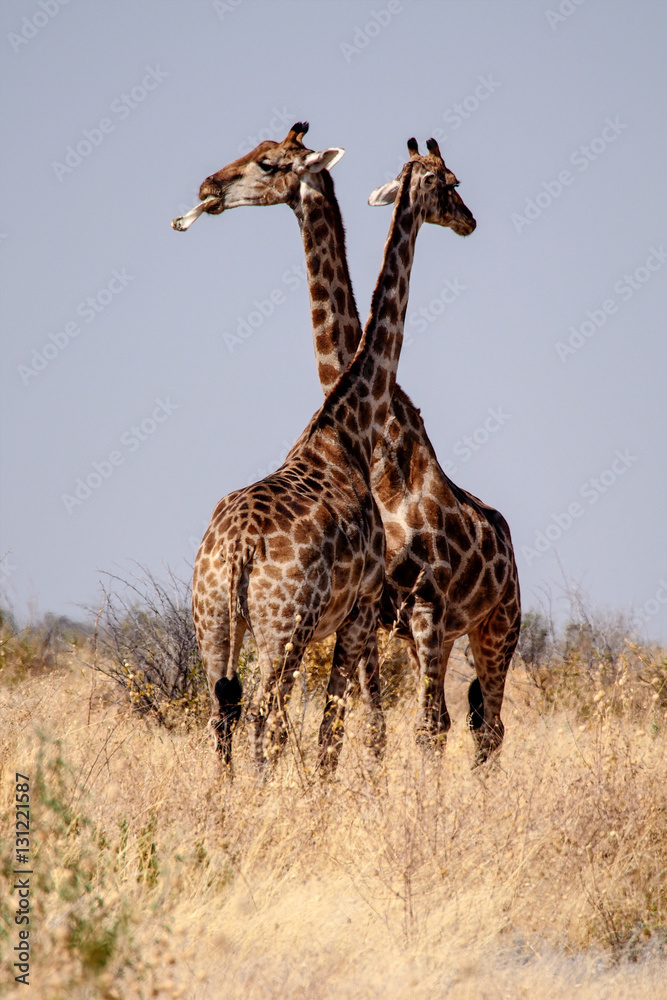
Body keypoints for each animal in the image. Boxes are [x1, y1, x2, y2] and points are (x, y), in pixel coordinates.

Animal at [173, 125, 520, 764]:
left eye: (266, 161)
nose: (207, 188)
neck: (352, 430)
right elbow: (350, 730)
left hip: (487, 626)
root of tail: (235, 552)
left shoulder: (400, 610)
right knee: (266, 720)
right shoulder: (374, 610)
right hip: (294, 630)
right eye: (450, 181)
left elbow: (355, 730)